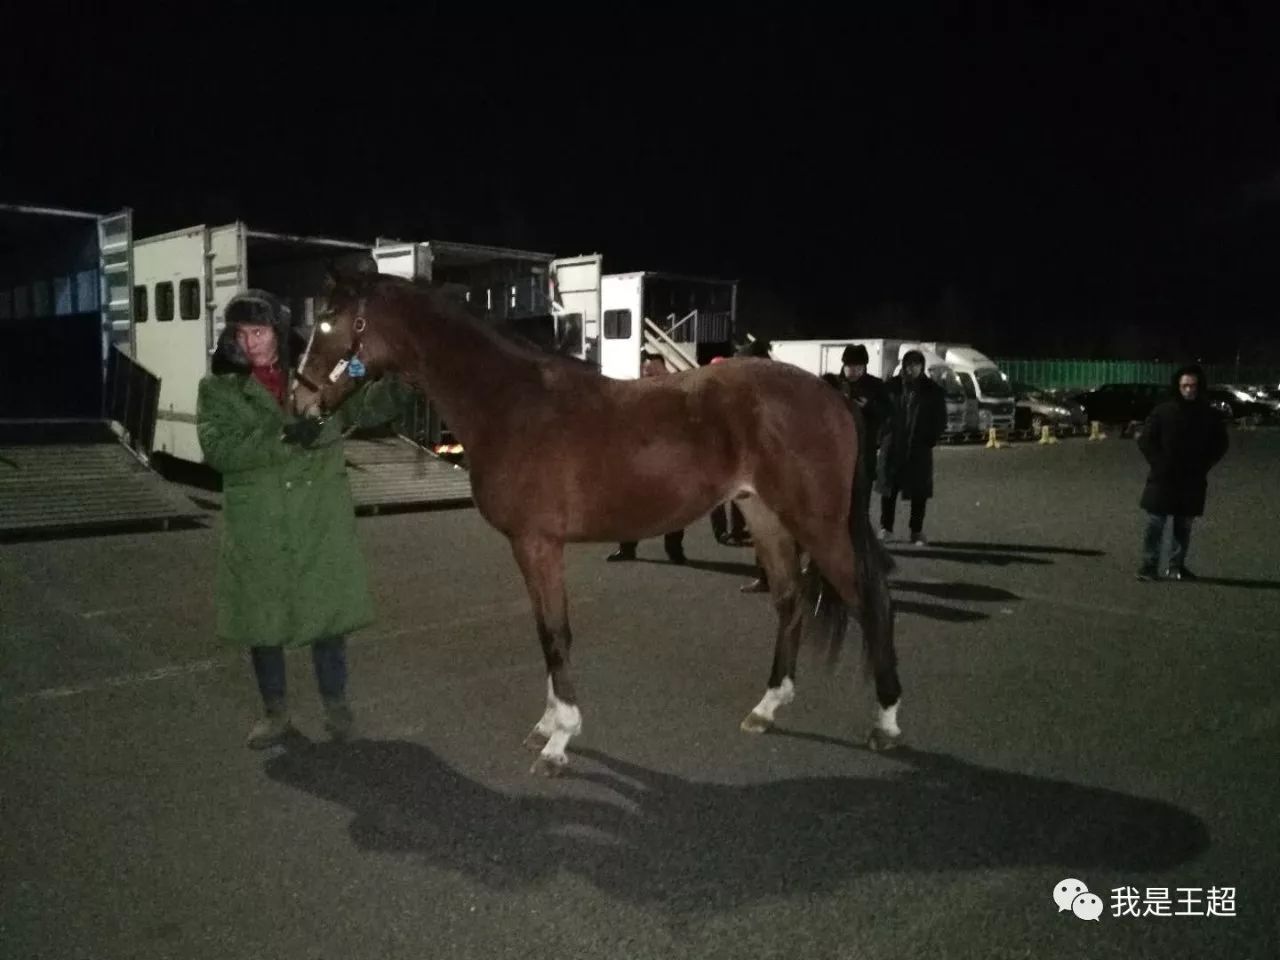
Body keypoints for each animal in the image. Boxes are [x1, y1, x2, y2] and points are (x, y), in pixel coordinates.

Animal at [291, 267, 902, 775]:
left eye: (325, 322)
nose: (299, 405)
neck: (511, 404)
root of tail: (832, 396)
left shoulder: (537, 544)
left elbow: (555, 632)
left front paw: (561, 738)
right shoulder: (532, 547)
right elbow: (545, 630)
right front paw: (547, 725)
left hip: (818, 525)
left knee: (873, 602)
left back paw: (887, 720)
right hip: (766, 517)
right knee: (791, 602)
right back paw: (768, 706)